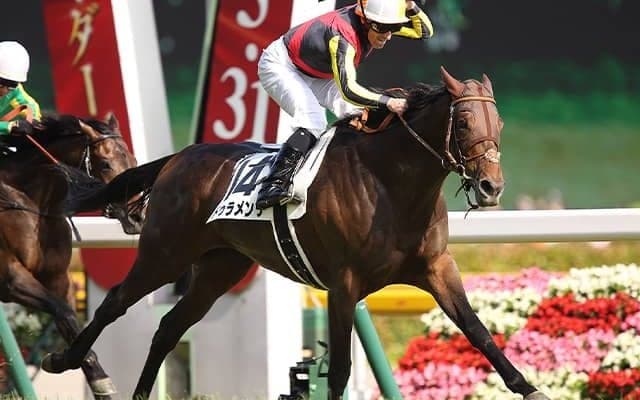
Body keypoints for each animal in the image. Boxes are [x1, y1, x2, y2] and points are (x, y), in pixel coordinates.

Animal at [0, 113, 139, 398]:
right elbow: (64, 312)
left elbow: (69, 321)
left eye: (133, 161)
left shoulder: (58, 279)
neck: (32, 204)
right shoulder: (10, 278)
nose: (137, 215)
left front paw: (97, 380)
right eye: (105, 163)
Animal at [41, 67, 550, 400]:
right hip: (165, 252)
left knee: (168, 328)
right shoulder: (344, 285)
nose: (491, 187)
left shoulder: (436, 267)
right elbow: (340, 367)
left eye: (499, 124)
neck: (391, 184)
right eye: (462, 123)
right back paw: (65, 361)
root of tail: (176, 159)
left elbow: (478, 331)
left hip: (220, 269)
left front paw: (528, 387)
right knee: (115, 302)